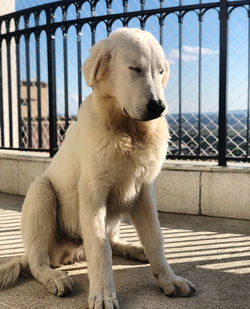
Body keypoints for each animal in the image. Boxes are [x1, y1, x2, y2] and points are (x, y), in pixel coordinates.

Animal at [0, 27, 195, 306]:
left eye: (160, 71)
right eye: (134, 69)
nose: (159, 107)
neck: (127, 131)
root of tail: (70, 253)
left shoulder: (144, 191)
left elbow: (156, 238)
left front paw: (169, 279)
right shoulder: (93, 193)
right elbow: (100, 248)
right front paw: (103, 294)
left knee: (112, 241)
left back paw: (134, 248)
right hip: (41, 192)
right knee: (39, 263)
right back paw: (55, 278)